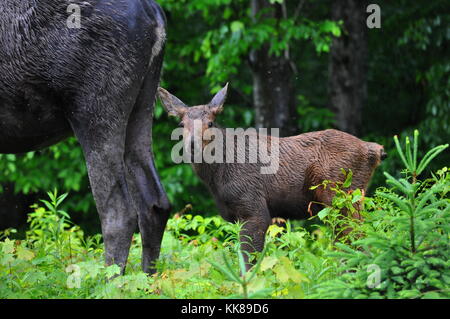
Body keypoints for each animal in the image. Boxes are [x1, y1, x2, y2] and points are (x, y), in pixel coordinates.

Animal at [157, 84, 384, 268]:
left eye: (211, 123)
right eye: (181, 124)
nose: (192, 145)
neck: (216, 177)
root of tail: (374, 150)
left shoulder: (254, 208)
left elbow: (249, 260)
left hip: (340, 196)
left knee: (357, 239)